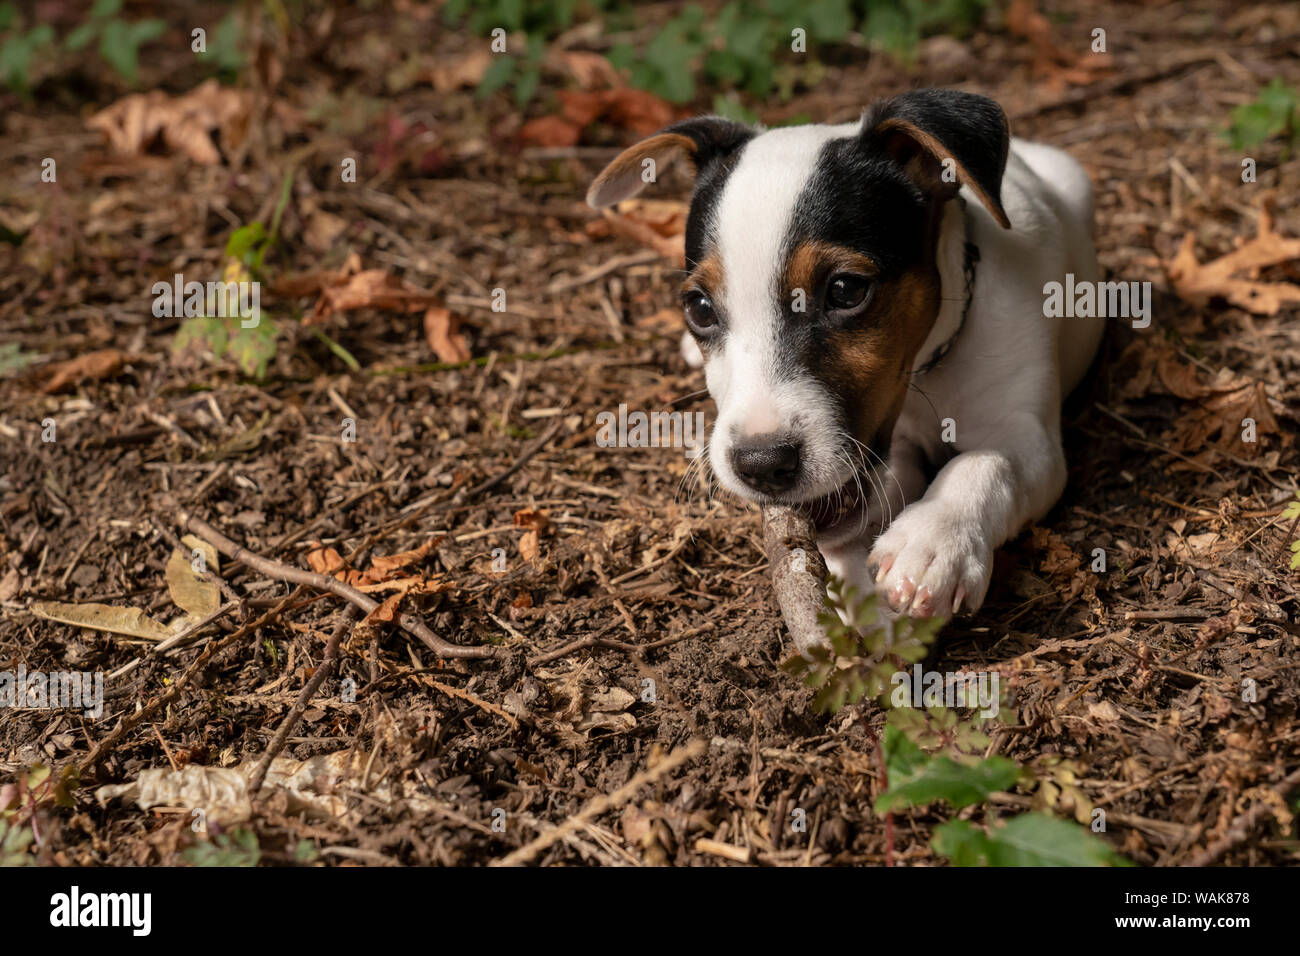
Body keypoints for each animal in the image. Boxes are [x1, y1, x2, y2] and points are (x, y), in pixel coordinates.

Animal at [590, 89, 1107, 624]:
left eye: (845, 290)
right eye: (699, 307)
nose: (761, 465)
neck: (927, 374)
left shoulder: (1031, 441)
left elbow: (987, 462)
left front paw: (932, 539)